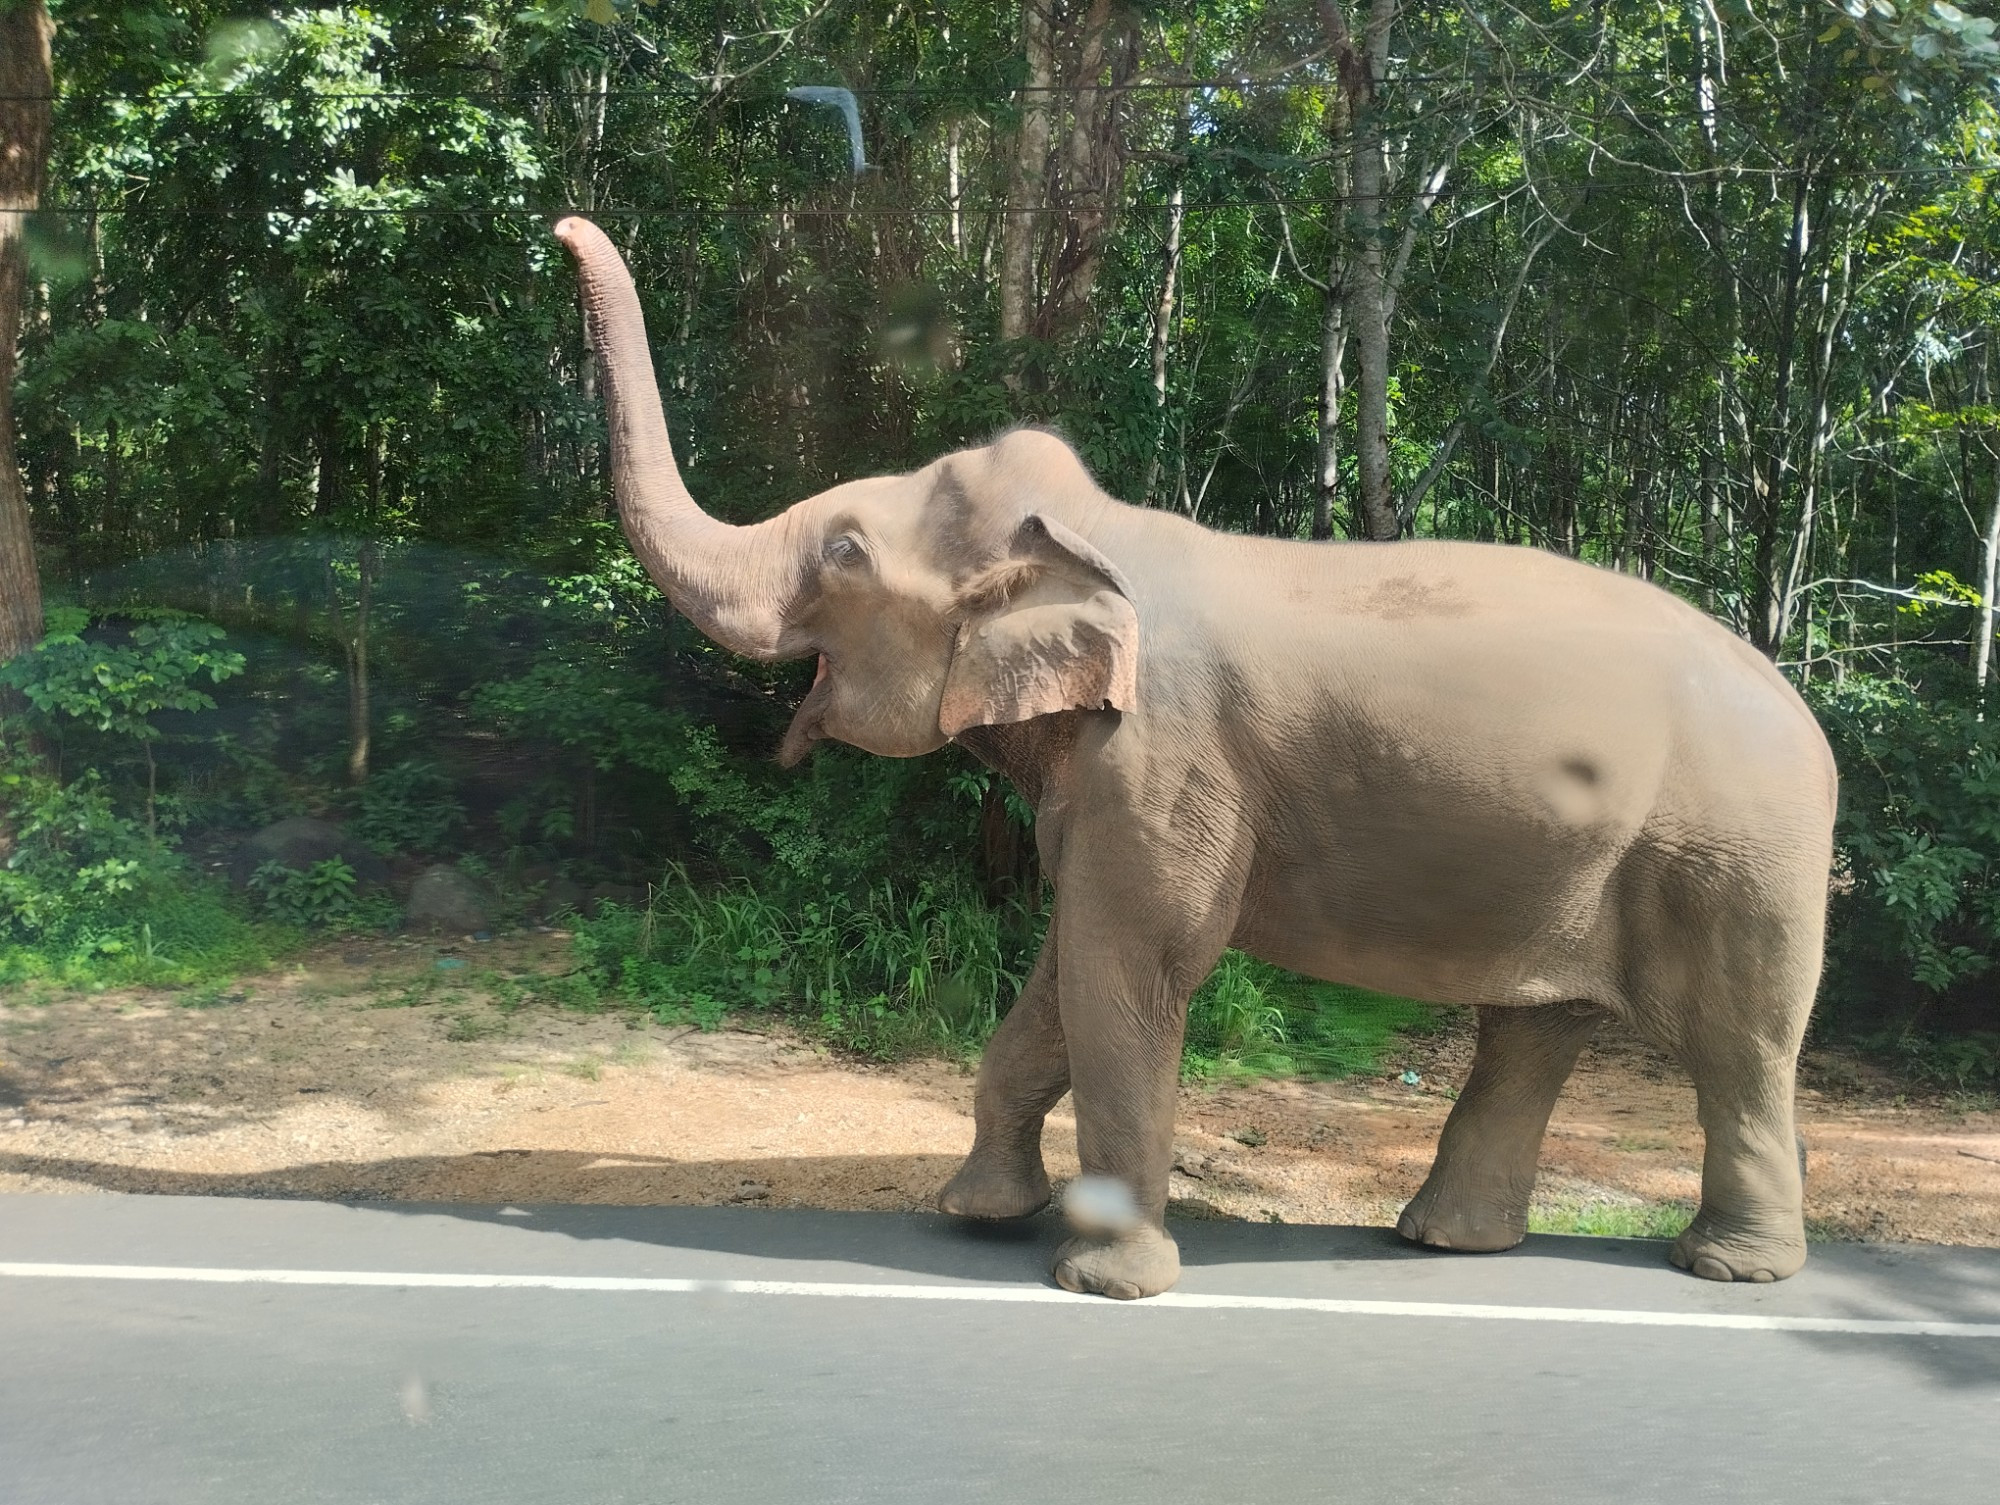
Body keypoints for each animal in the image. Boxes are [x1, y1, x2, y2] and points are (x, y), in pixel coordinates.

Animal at [556, 214, 1832, 1304]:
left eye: (843, 552)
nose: (565, 225)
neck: (1097, 535)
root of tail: (1800, 709)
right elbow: (1065, 970)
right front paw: (976, 1213)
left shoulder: (1162, 761)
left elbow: (1133, 963)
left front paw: (1103, 1280)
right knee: (1535, 1028)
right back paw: (1444, 1238)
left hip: (1733, 857)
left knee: (1738, 1041)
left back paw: (1725, 1266)